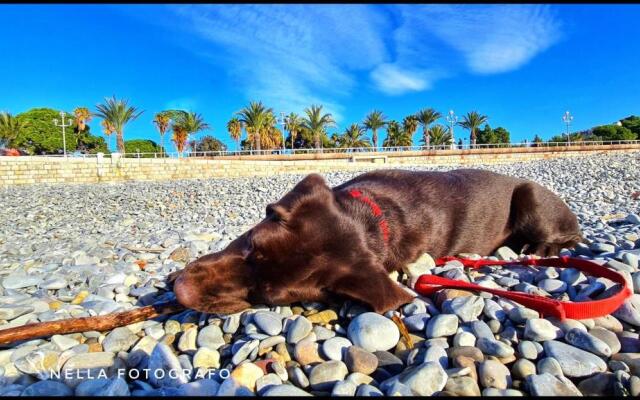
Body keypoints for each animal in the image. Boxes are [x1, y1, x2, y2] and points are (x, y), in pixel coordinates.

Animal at [169, 169, 580, 316]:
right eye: (251, 243)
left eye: (267, 297)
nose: (181, 291)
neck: (368, 221)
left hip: (530, 195)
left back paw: (539, 250)